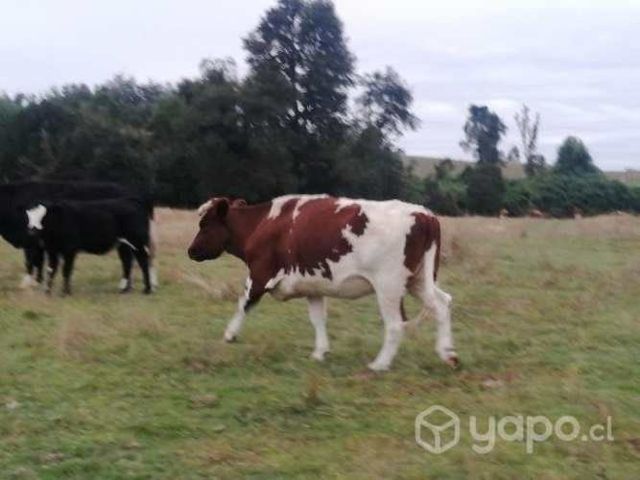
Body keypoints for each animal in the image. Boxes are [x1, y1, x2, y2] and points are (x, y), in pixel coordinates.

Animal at [0, 181, 158, 289]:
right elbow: (40, 264)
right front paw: (38, 283)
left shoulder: (31, 242)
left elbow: (31, 262)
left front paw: (29, 283)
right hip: (123, 243)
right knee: (129, 260)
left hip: (134, 240)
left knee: (140, 259)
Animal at [187, 195, 457, 372]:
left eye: (205, 224)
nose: (190, 251)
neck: (262, 224)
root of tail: (424, 214)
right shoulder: (313, 285)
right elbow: (317, 319)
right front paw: (319, 352)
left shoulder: (260, 274)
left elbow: (244, 303)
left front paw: (230, 334)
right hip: (418, 281)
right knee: (442, 304)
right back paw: (447, 353)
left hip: (388, 287)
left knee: (395, 325)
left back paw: (379, 364)